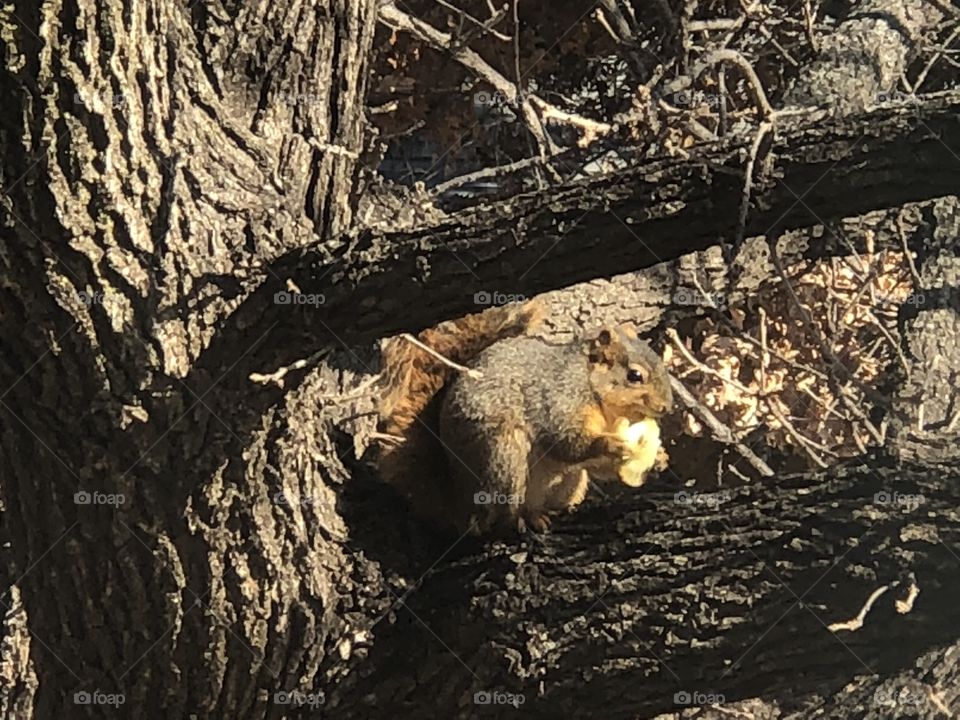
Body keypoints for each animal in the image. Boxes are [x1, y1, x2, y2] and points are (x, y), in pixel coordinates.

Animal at [377, 299, 673, 535]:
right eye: (635, 375)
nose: (666, 408)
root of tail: (460, 501)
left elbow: (596, 465)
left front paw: (658, 458)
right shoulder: (558, 399)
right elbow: (567, 442)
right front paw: (609, 443)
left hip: (571, 482)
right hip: (505, 457)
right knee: (500, 518)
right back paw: (523, 520)